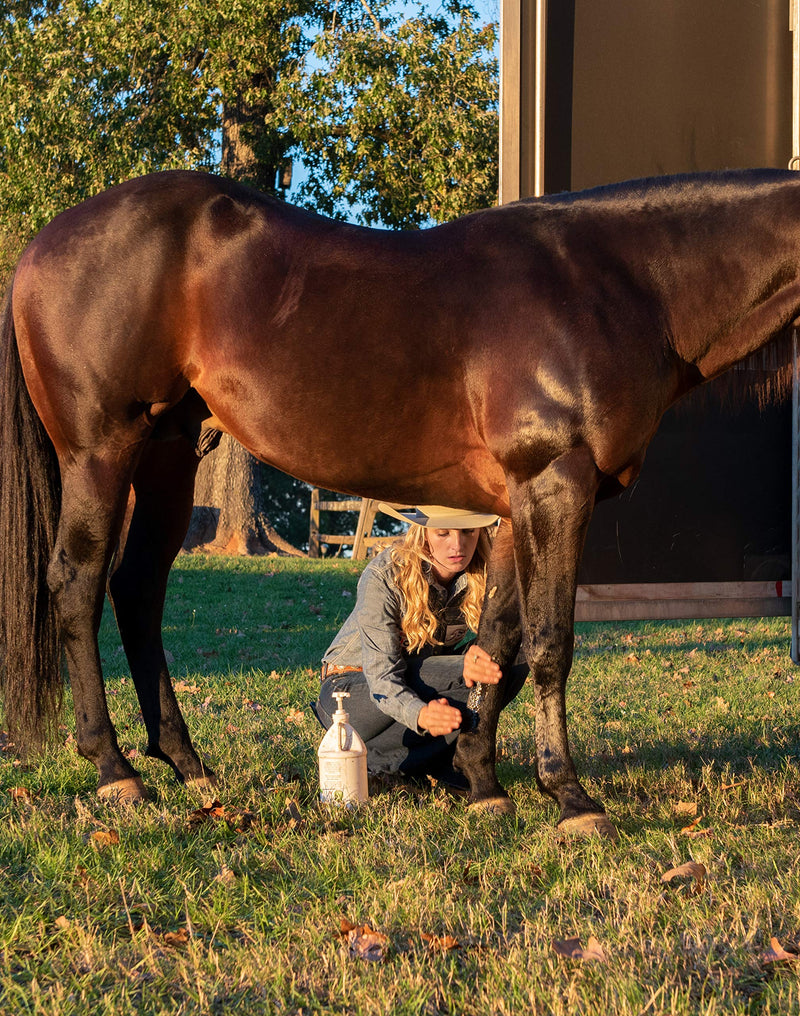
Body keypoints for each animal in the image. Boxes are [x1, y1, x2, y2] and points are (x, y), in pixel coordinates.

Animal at [1, 167, 798, 839]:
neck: (620, 284)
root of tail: (45, 241)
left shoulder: (513, 509)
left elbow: (495, 647)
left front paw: (482, 780)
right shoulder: (555, 485)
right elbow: (550, 644)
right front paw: (570, 797)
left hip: (169, 455)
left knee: (138, 589)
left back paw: (188, 765)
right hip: (101, 452)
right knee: (77, 584)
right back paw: (115, 770)